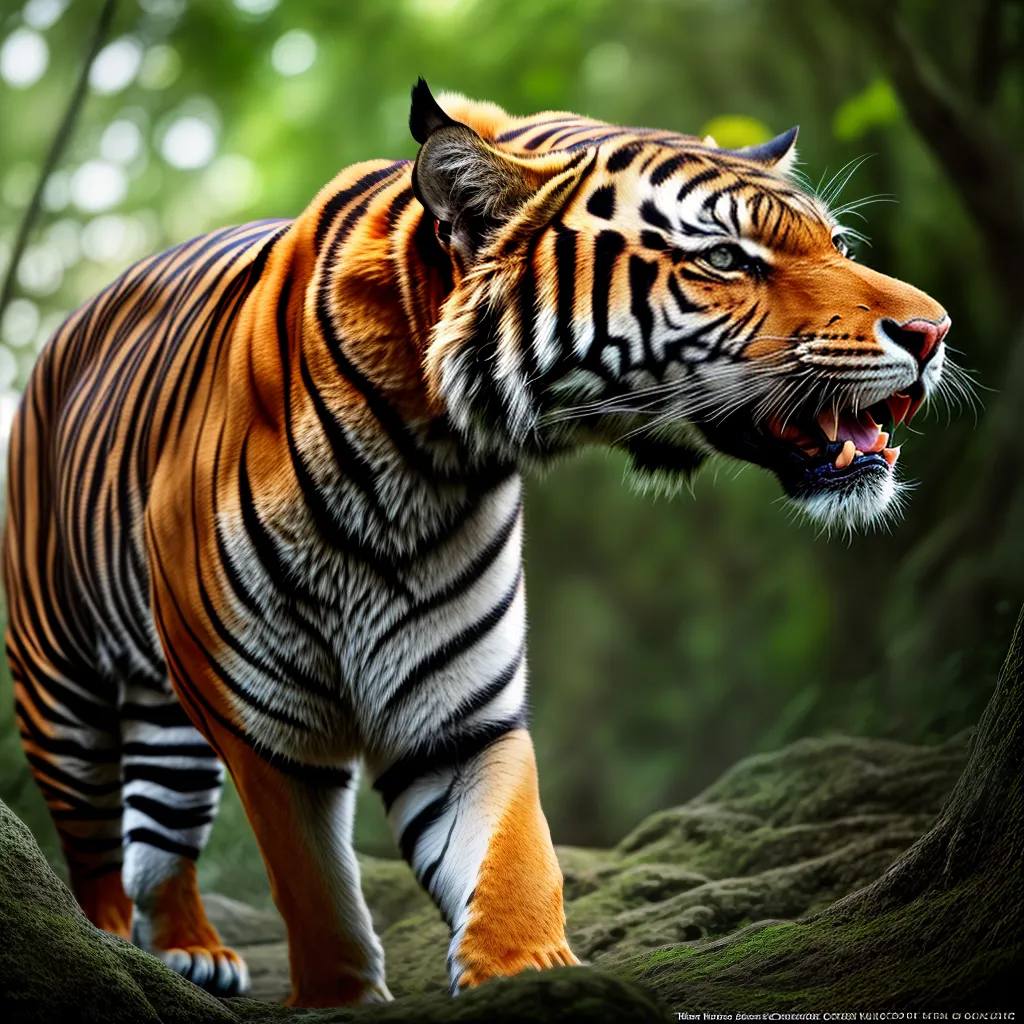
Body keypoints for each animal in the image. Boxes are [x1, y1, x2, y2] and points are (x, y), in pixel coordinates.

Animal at [3, 79, 950, 1007]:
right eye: (722, 258)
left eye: (835, 240)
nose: (933, 331)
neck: (426, 457)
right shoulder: (266, 728)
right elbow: (315, 891)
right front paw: (343, 995)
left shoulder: (458, 718)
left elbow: (515, 860)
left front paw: (534, 977)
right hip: (65, 694)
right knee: (95, 852)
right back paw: (115, 958)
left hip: (170, 710)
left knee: (159, 831)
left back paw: (193, 951)